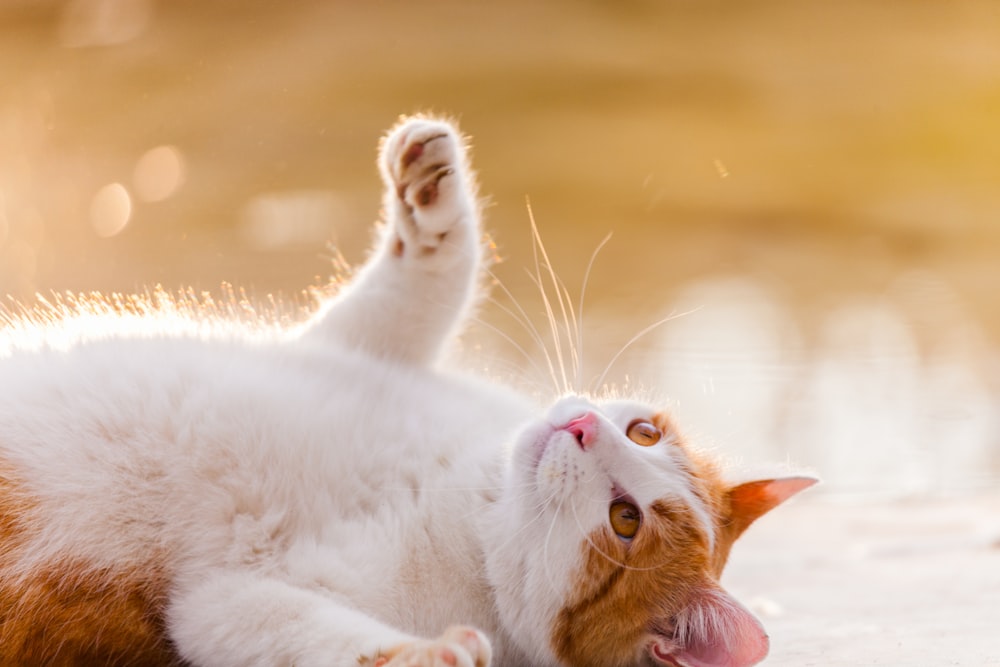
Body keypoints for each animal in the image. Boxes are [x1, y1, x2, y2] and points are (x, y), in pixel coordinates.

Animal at [0, 117, 812, 664]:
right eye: (646, 430)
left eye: (624, 521)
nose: (582, 426)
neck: (454, 490)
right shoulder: (346, 350)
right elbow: (420, 291)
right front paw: (432, 205)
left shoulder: (223, 604)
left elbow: (311, 637)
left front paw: (431, 654)